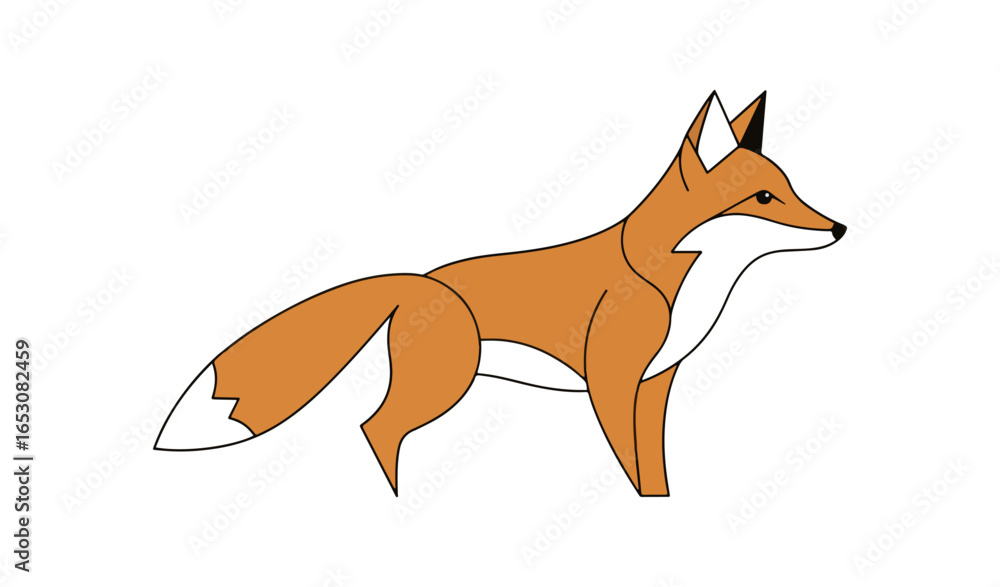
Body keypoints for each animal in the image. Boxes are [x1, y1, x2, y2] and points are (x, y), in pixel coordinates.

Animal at [155, 91, 845, 497]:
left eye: (791, 189)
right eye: (764, 198)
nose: (839, 228)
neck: (671, 276)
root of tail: (420, 281)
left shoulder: (655, 385)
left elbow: (654, 468)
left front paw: (661, 507)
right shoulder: (611, 383)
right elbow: (627, 460)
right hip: (445, 384)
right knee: (377, 427)